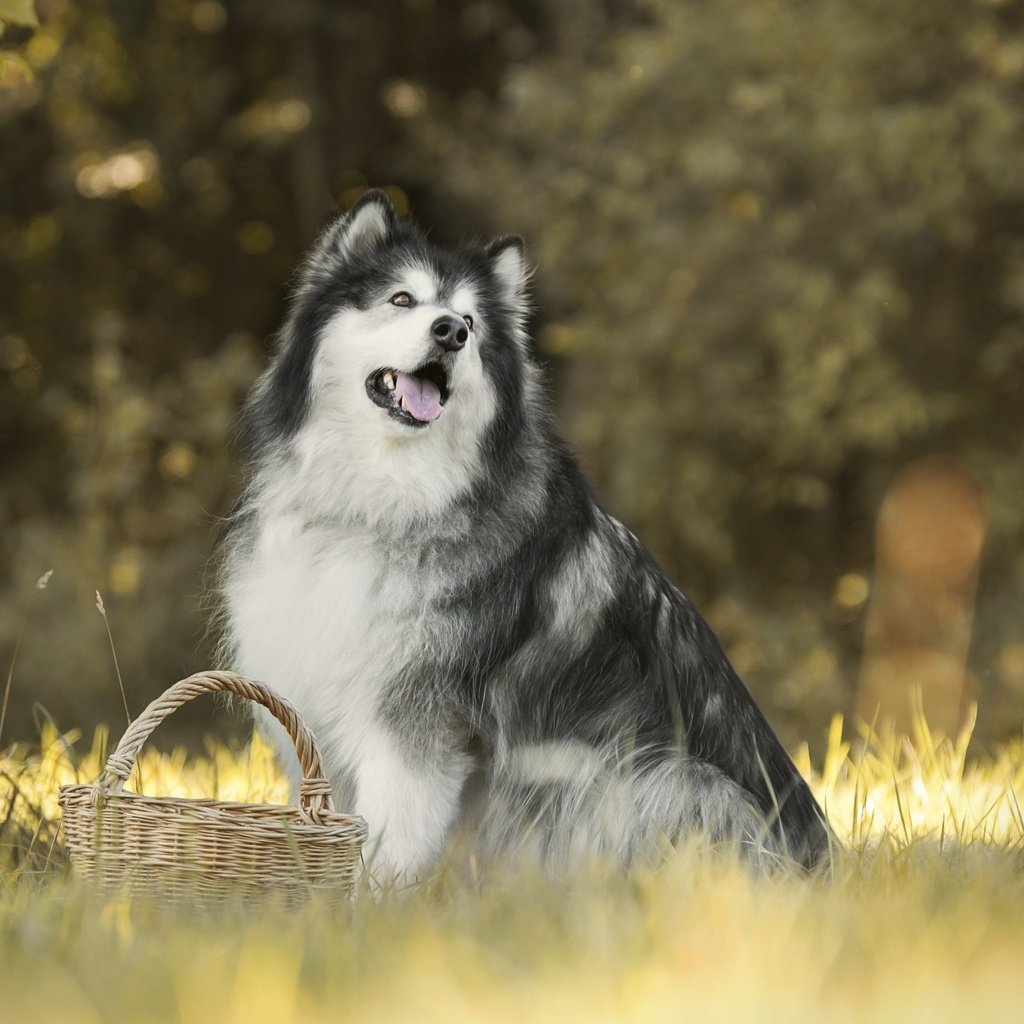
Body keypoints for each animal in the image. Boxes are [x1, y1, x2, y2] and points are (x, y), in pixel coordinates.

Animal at [218, 190, 831, 880]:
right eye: (402, 299)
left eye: (470, 320)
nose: (451, 332)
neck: (389, 498)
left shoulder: (413, 730)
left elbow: (386, 844)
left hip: (659, 780)